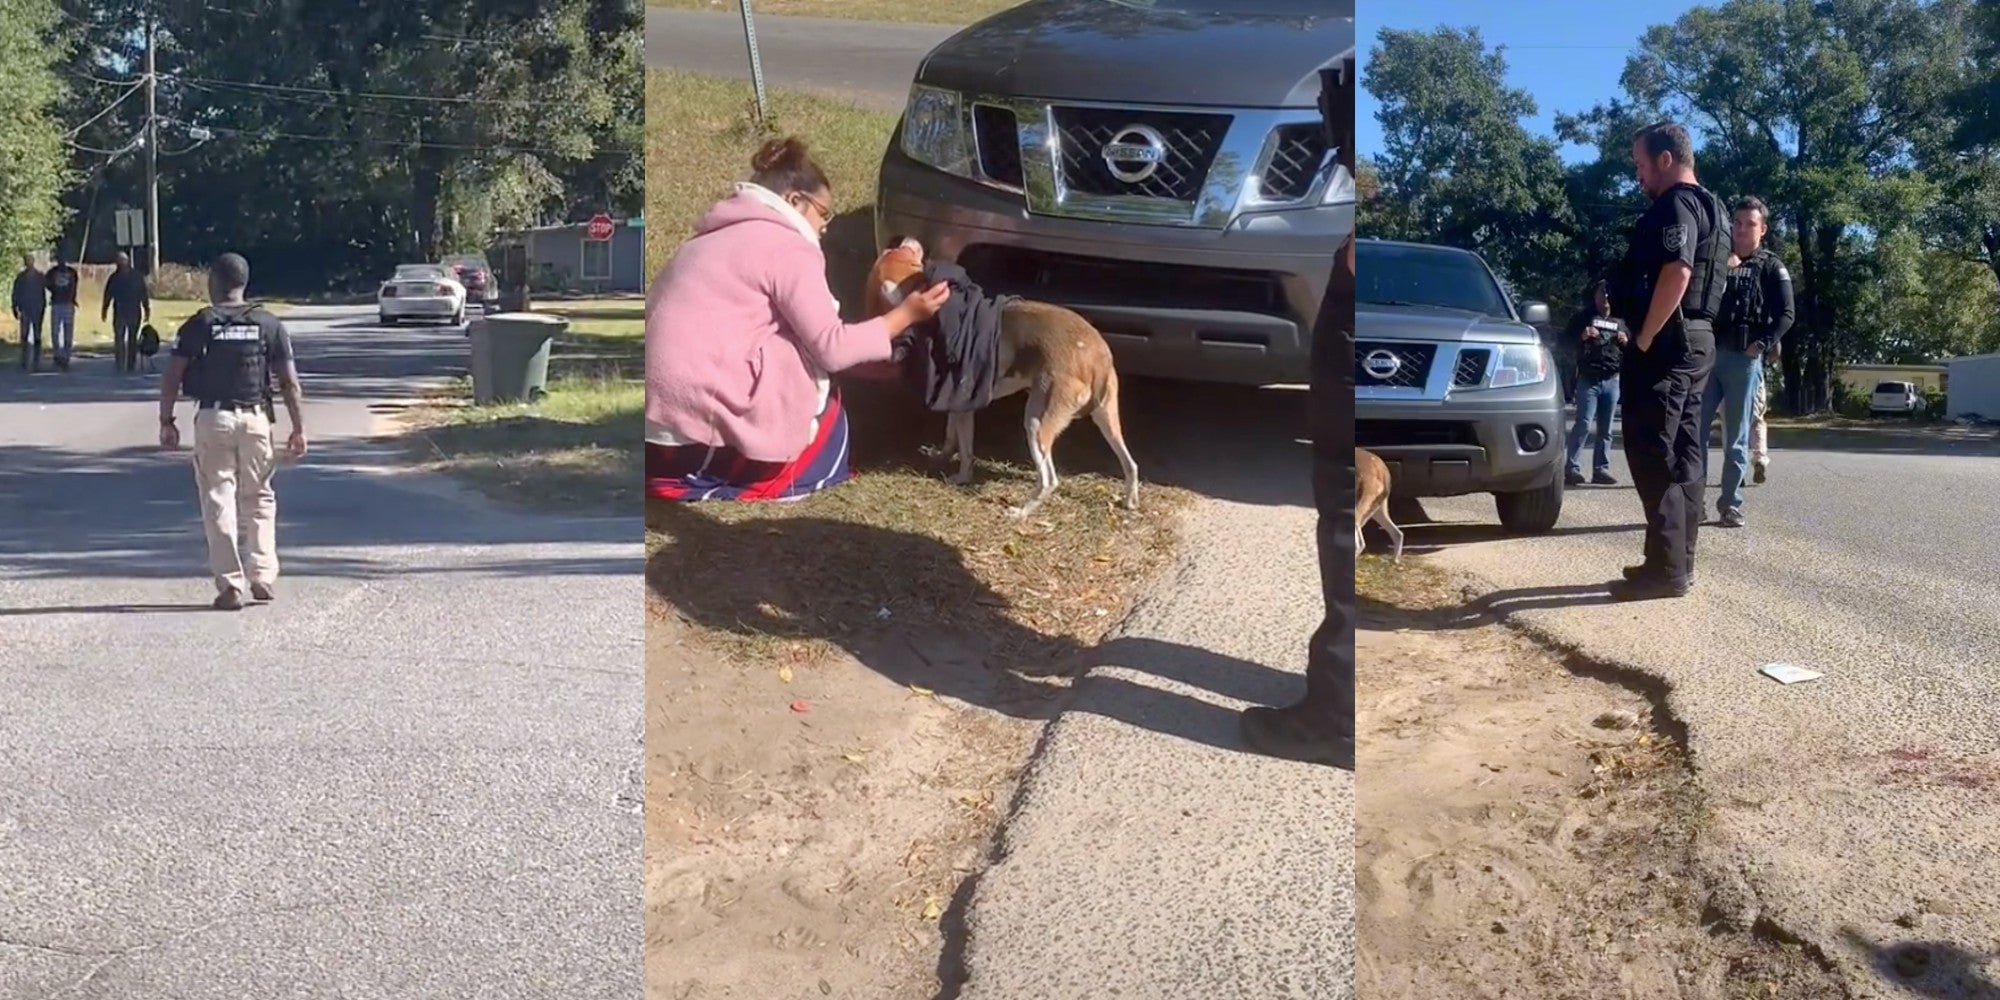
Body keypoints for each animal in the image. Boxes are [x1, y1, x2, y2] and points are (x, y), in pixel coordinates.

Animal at [864, 238, 1144, 520]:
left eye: (900, 253)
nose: (906, 240)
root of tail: (1097, 355)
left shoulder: (965, 406)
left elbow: (966, 451)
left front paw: (962, 477)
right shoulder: (956, 401)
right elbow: (951, 435)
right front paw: (943, 455)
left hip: (1036, 423)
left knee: (1049, 480)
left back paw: (1021, 512)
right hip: (1106, 418)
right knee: (1131, 463)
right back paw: (1130, 500)